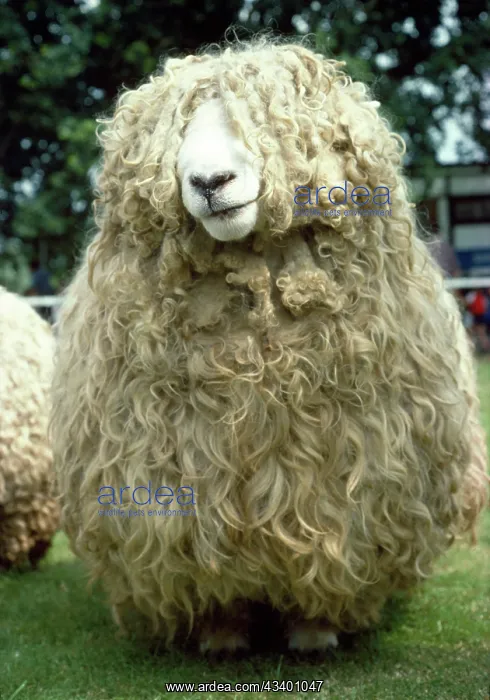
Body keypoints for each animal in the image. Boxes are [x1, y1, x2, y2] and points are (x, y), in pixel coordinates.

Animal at [51, 37, 488, 653]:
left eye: (264, 127)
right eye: (178, 131)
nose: (210, 182)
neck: (257, 364)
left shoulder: (342, 480)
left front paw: (315, 630)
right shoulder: (182, 487)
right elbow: (207, 566)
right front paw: (221, 633)